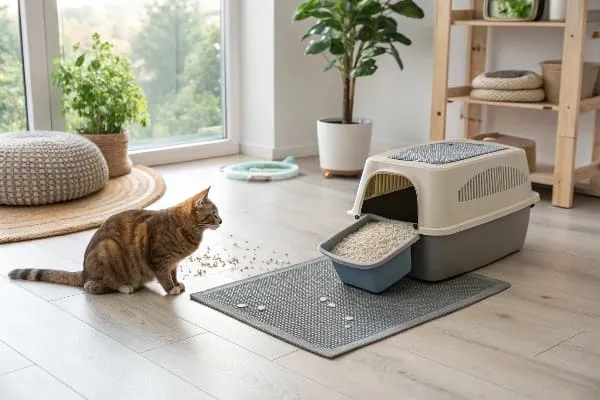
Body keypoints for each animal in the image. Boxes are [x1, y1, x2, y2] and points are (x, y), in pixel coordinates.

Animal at [8, 186, 223, 296]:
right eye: (214, 213)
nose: (221, 220)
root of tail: (84, 271)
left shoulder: (173, 263)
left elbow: (173, 274)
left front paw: (177, 283)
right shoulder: (159, 259)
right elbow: (164, 277)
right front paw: (172, 289)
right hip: (107, 249)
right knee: (92, 286)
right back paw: (124, 287)